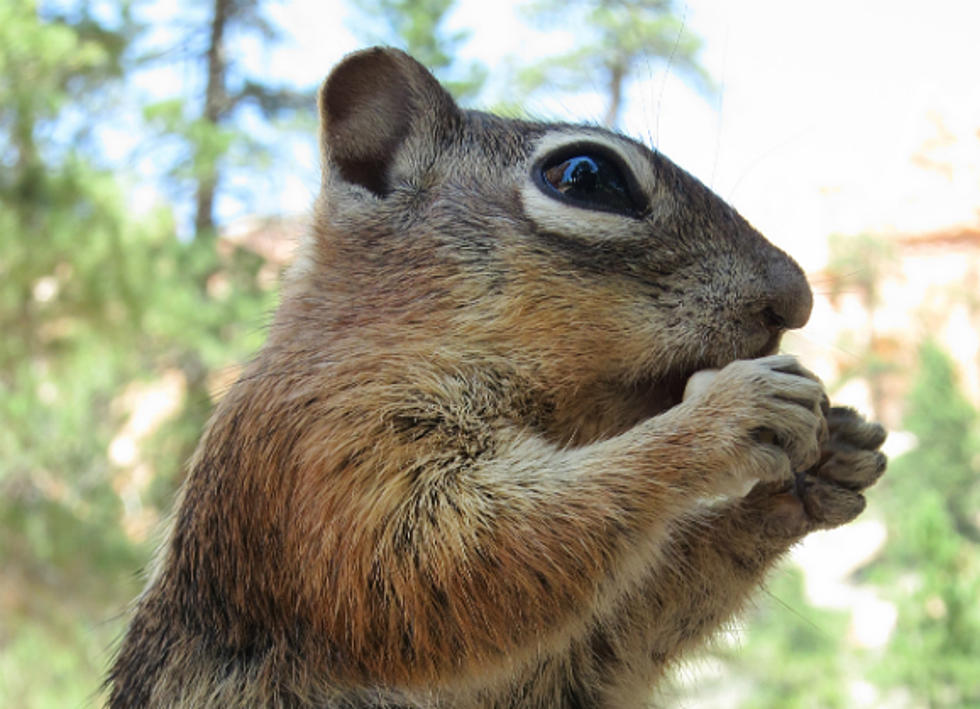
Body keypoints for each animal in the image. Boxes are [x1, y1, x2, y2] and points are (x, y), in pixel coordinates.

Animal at [105, 47, 888, 704]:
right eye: (586, 176)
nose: (795, 298)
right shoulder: (320, 456)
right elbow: (447, 564)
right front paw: (730, 413)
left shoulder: (573, 664)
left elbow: (620, 626)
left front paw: (827, 461)